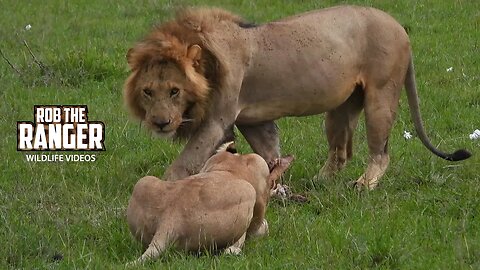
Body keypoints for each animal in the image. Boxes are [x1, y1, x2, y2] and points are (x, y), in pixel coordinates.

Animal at [123, 5, 468, 189]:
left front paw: (161, 188)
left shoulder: (217, 119)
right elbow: (269, 152)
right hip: (340, 108)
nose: (161, 123)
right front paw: (274, 185)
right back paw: (319, 182)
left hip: (380, 96)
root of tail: (399, 26)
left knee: (380, 152)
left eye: (175, 91)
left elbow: (185, 162)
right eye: (148, 92)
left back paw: (363, 185)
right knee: (341, 152)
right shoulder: (253, 120)